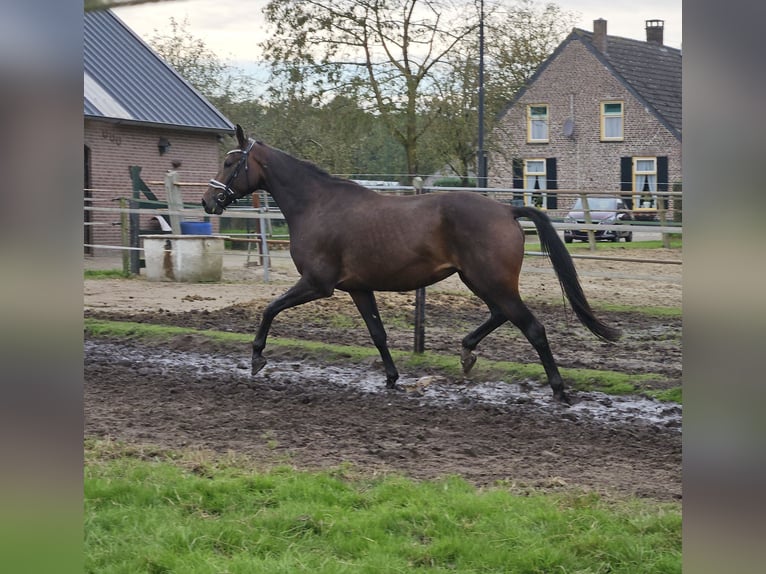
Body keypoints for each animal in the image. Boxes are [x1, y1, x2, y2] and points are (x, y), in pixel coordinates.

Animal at [201, 126, 620, 404]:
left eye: (229, 162)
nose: (208, 201)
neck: (317, 205)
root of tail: (506, 210)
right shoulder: (358, 288)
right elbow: (378, 334)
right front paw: (391, 379)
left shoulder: (318, 283)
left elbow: (270, 309)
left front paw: (256, 357)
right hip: (478, 280)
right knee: (501, 314)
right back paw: (467, 352)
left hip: (490, 281)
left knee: (532, 328)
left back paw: (559, 390)